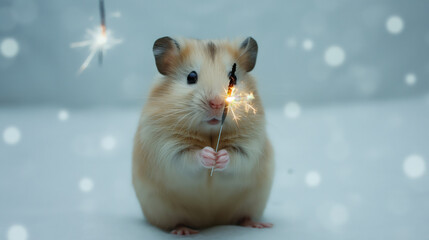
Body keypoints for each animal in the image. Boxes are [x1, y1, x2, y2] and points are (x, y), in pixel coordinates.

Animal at [130, 36, 276, 235]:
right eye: (191, 77)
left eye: (234, 78)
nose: (217, 103)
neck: (210, 132)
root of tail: (211, 222)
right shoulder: (166, 146)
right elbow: (188, 156)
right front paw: (209, 155)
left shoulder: (251, 144)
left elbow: (237, 156)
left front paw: (219, 157)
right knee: (177, 222)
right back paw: (184, 231)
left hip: (253, 203)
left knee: (243, 217)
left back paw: (258, 225)